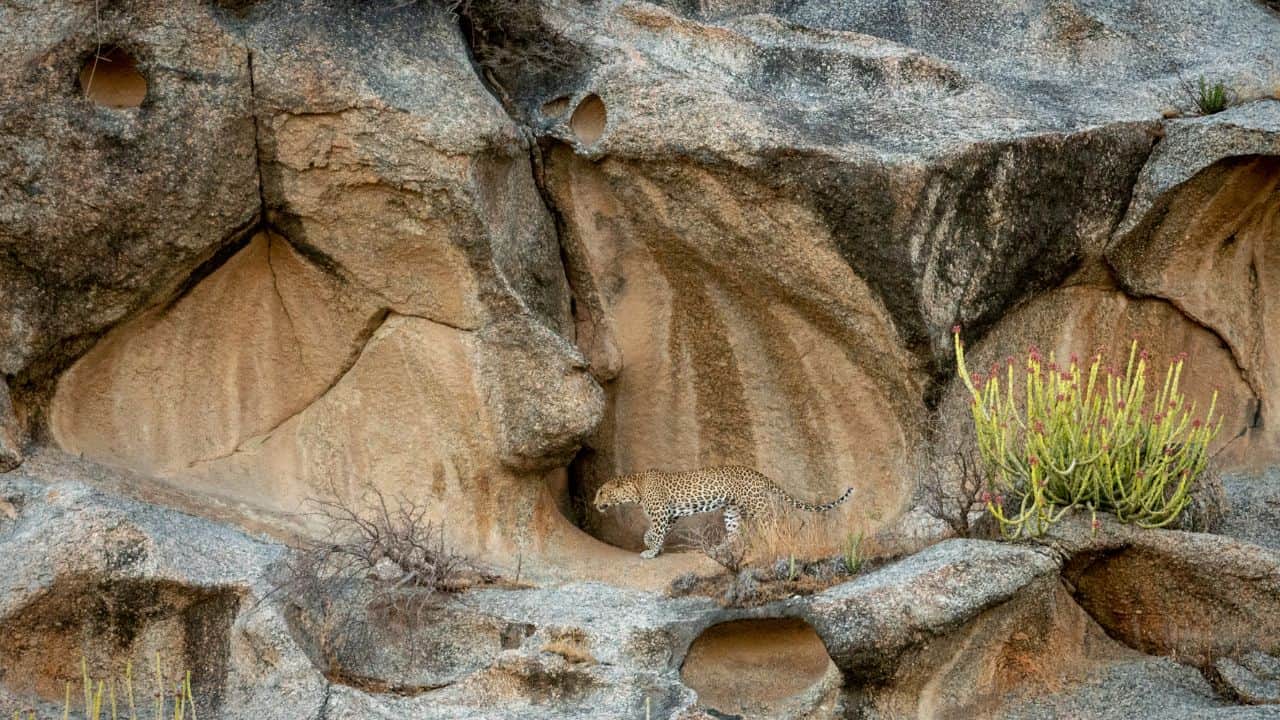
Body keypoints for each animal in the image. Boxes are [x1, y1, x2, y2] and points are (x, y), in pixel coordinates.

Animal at [592, 466, 854, 559]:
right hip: (731, 511)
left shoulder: (661, 513)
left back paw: (775, 543)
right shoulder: (671, 514)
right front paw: (652, 546)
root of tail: (757, 473)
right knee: (734, 534)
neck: (635, 488)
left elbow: (654, 533)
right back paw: (719, 549)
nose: (595, 504)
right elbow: (654, 532)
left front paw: (651, 551)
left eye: (602, 493)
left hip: (756, 506)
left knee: (772, 524)